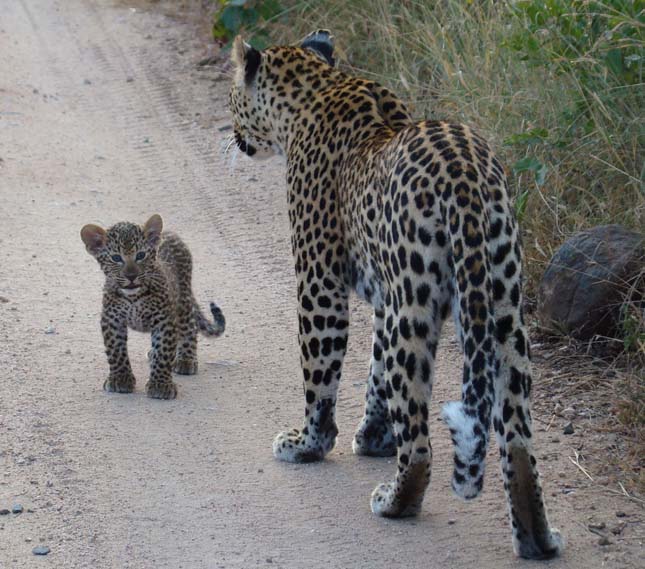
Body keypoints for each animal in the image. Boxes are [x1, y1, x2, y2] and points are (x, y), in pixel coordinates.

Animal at [229, 28, 560, 556]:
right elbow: (375, 372)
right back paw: (537, 540)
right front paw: (374, 437)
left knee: (423, 442)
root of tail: (465, 176)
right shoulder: (387, 297)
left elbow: (322, 371)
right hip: (503, 304)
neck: (314, 90)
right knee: (518, 439)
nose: (233, 136)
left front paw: (308, 444)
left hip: (418, 311)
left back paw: (393, 501)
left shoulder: (320, 279)